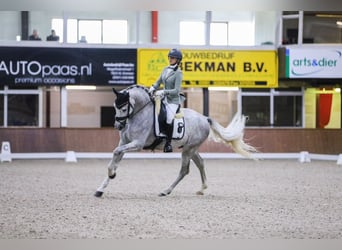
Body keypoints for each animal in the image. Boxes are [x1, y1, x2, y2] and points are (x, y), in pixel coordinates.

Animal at [94, 84, 256, 197]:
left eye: (123, 108)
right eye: (115, 106)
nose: (118, 126)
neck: (139, 113)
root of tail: (204, 118)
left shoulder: (137, 144)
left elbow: (115, 154)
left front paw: (112, 174)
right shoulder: (124, 143)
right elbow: (115, 158)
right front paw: (101, 188)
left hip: (188, 149)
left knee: (184, 170)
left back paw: (166, 191)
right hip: (191, 148)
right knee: (200, 163)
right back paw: (202, 189)